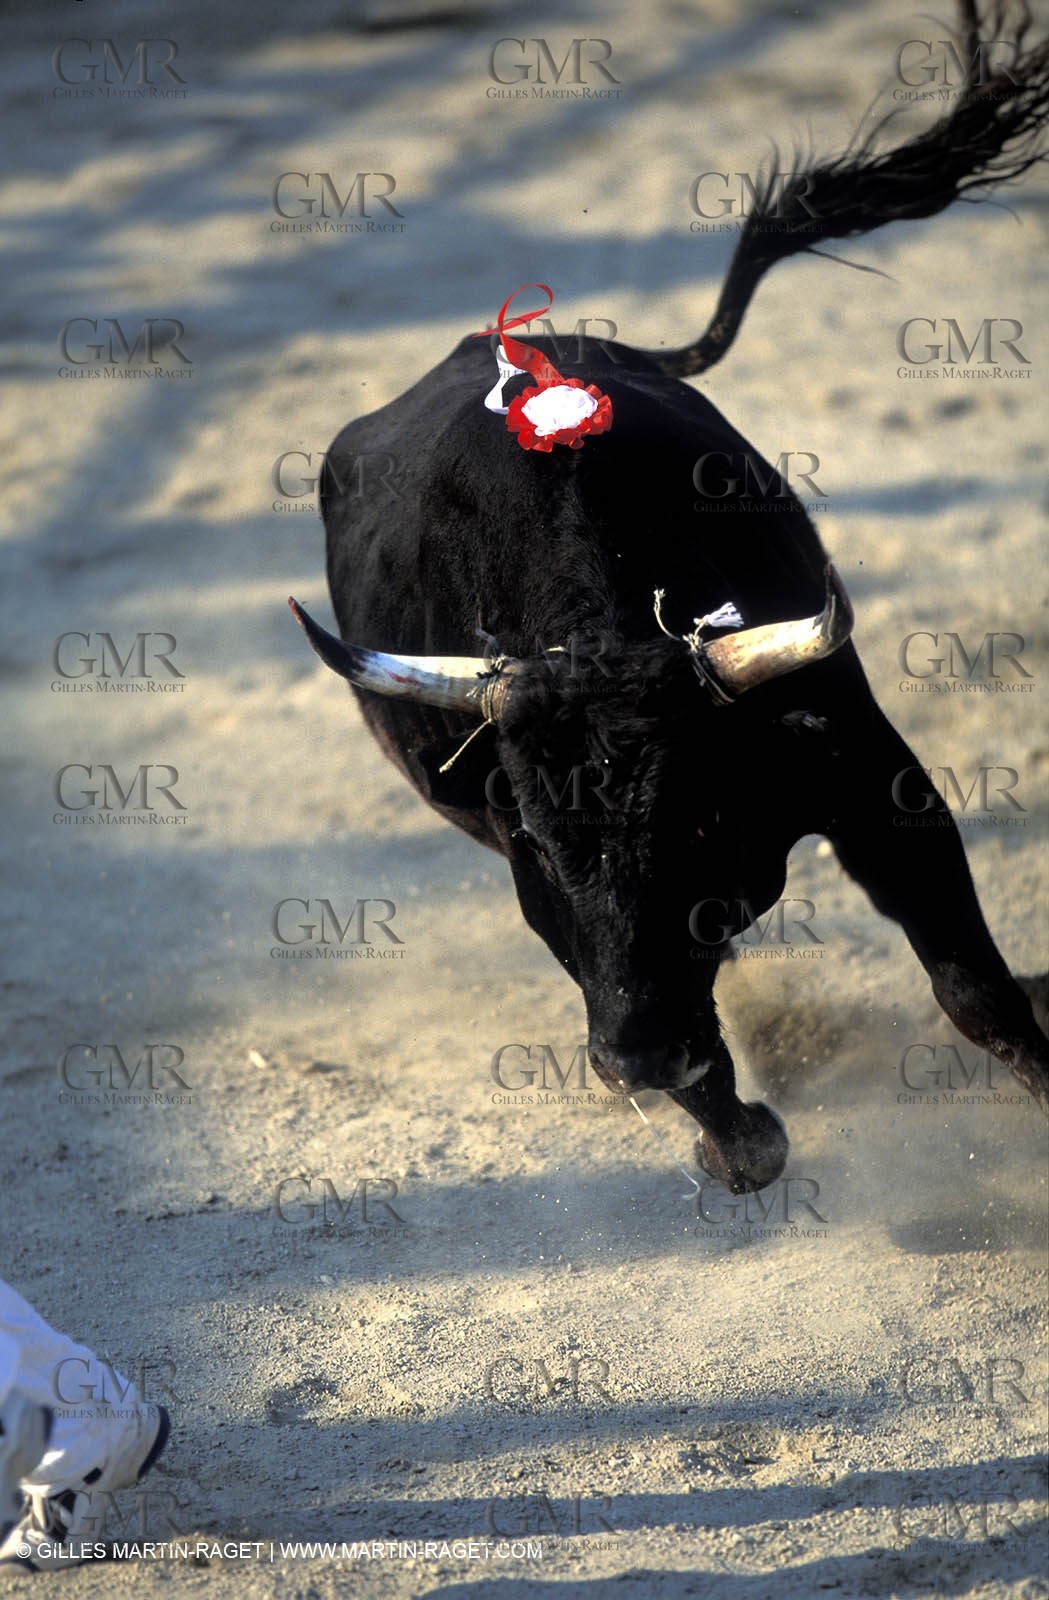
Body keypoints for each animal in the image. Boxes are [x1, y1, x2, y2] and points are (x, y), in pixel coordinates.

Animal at [291, 1, 1049, 1193]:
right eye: (542, 838)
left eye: (693, 822)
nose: (635, 1057)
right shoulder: (533, 877)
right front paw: (736, 1137)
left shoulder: (878, 782)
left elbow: (973, 986)